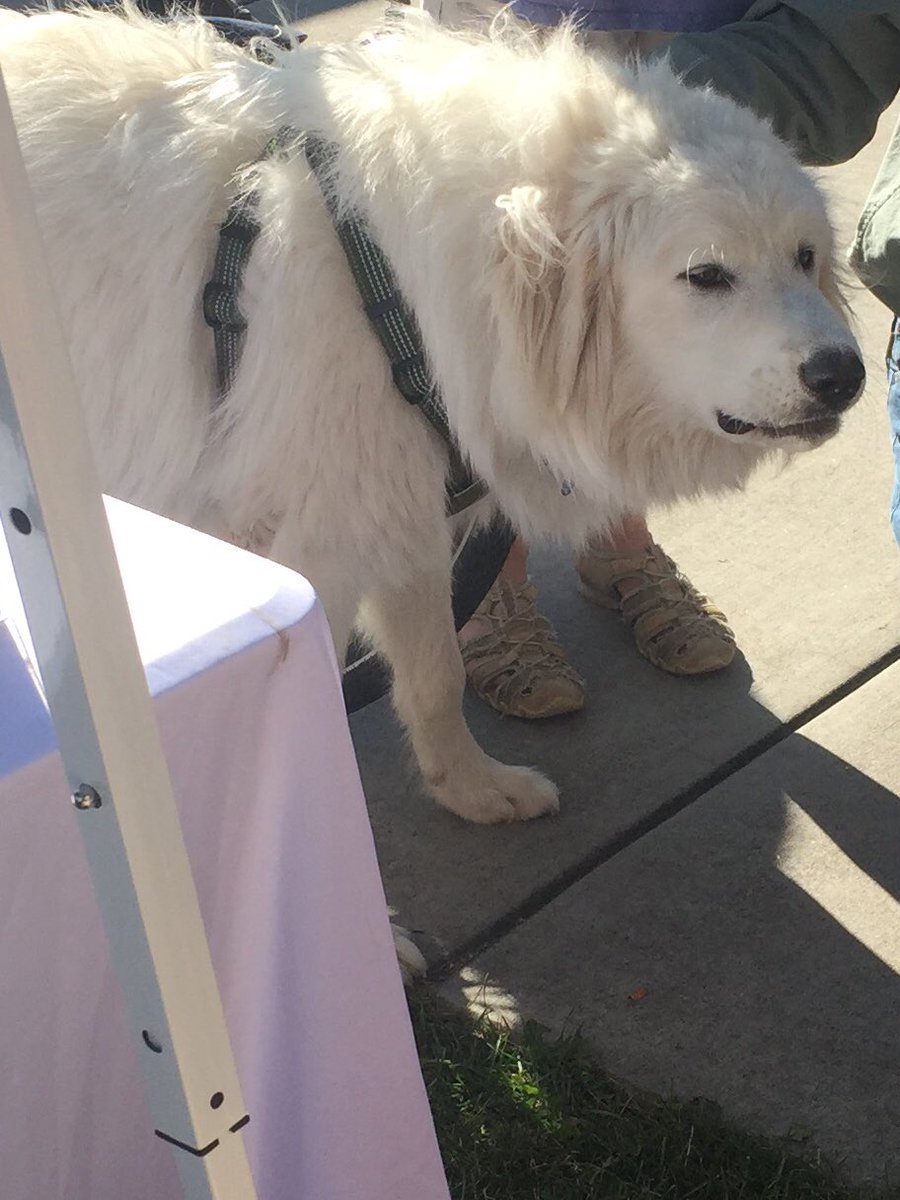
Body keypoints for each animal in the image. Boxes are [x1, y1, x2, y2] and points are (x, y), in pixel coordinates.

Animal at [0, 4, 868, 825]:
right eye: (707, 275)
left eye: (804, 258)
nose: (846, 377)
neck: (401, 280)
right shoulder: (311, 560)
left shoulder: (397, 517)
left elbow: (434, 677)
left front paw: (474, 791)